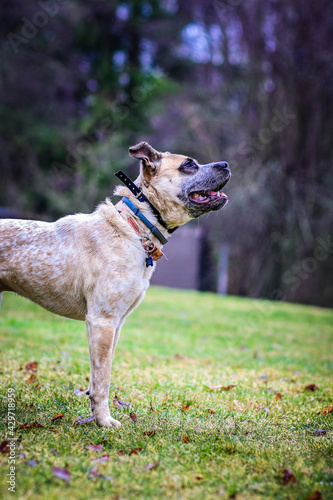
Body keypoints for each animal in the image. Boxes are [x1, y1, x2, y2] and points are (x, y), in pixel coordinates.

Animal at [0, 143, 230, 428]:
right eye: (189, 165)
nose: (226, 164)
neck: (136, 226)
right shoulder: (102, 321)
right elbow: (103, 380)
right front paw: (104, 421)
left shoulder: (116, 324)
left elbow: (97, 375)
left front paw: (93, 415)